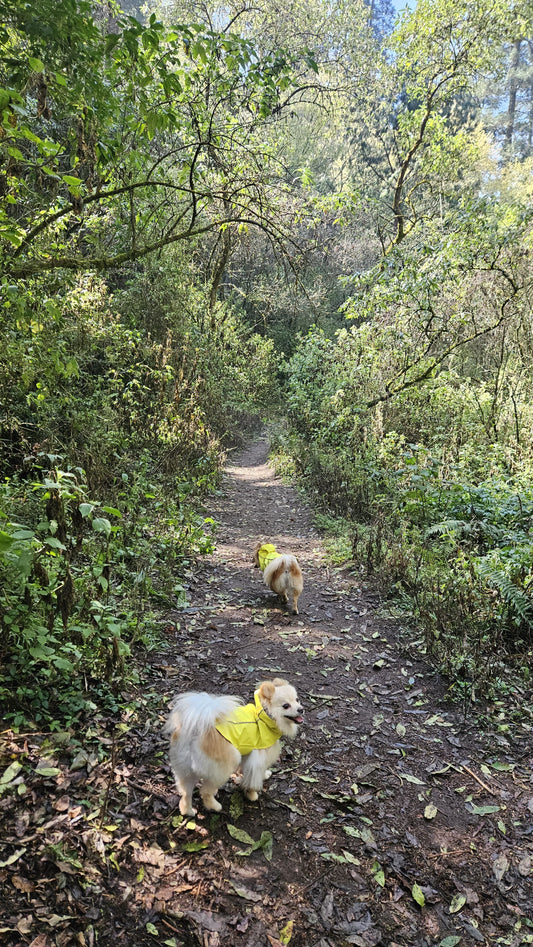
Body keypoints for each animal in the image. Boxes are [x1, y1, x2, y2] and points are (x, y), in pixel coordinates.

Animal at [162, 676, 304, 820]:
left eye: (297, 699)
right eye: (286, 706)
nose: (301, 709)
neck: (266, 716)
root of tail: (196, 730)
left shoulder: (248, 754)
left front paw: (263, 775)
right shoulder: (258, 758)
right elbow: (253, 778)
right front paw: (252, 794)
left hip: (185, 769)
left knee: (186, 794)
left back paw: (188, 811)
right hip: (225, 765)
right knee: (205, 791)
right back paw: (215, 806)